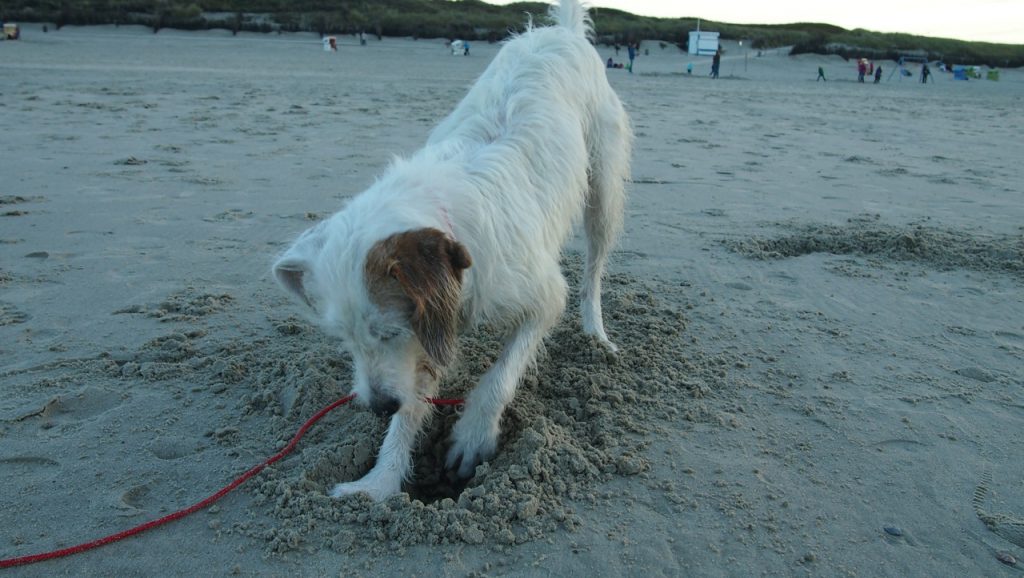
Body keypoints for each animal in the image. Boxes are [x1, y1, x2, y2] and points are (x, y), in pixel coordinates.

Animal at [276, 0, 634, 498]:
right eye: (343, 338)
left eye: (389, 331)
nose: (377, 406)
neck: (448, 220)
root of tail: (560, 33)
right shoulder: (431, 321)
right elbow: (412, 403)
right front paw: (378, 482)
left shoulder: (540, 297)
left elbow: (500, 376)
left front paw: (473, 436)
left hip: (603, 187)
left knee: (594, 269)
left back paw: (596, 334)